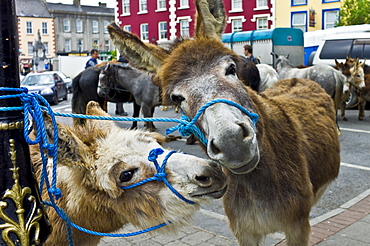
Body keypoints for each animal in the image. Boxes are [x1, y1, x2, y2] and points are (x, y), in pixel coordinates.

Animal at [105, 0, 340, 245]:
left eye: (231, 69)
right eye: (176, 98)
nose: (232, 143)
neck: (257, 184)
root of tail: (295, 78)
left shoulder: (297, 226)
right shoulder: (243, 230)